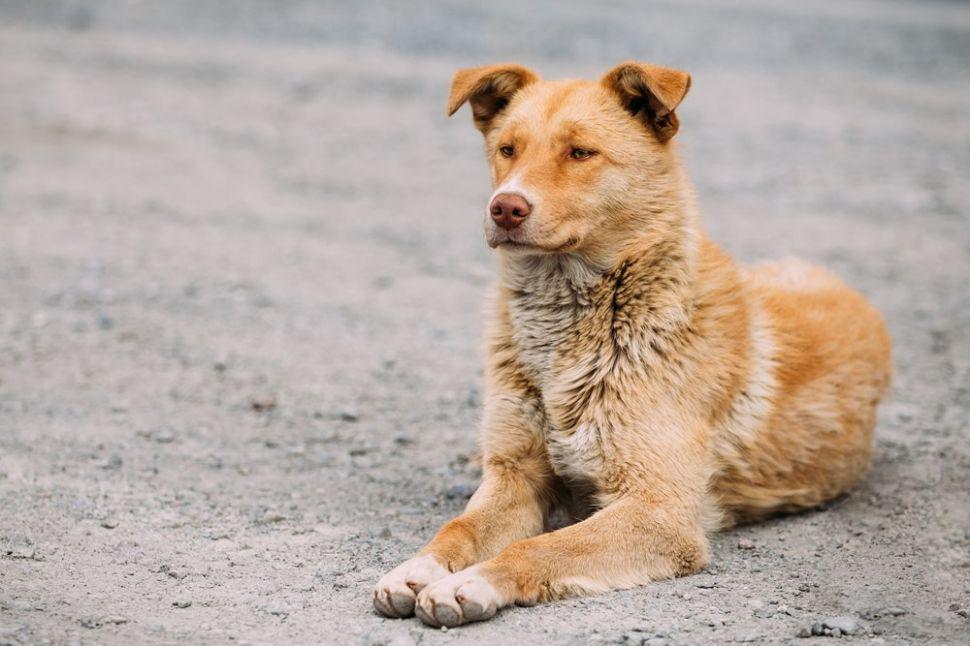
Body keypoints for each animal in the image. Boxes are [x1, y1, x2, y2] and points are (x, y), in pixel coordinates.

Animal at [370, 60, 892, 628]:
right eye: (507, 149)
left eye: (581, 153)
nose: (504, 207)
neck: (580, 323)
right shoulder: (516, 474)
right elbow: (460, 527)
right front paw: (418, 568)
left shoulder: (660, 510)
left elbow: (541, 547)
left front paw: (473, 582)